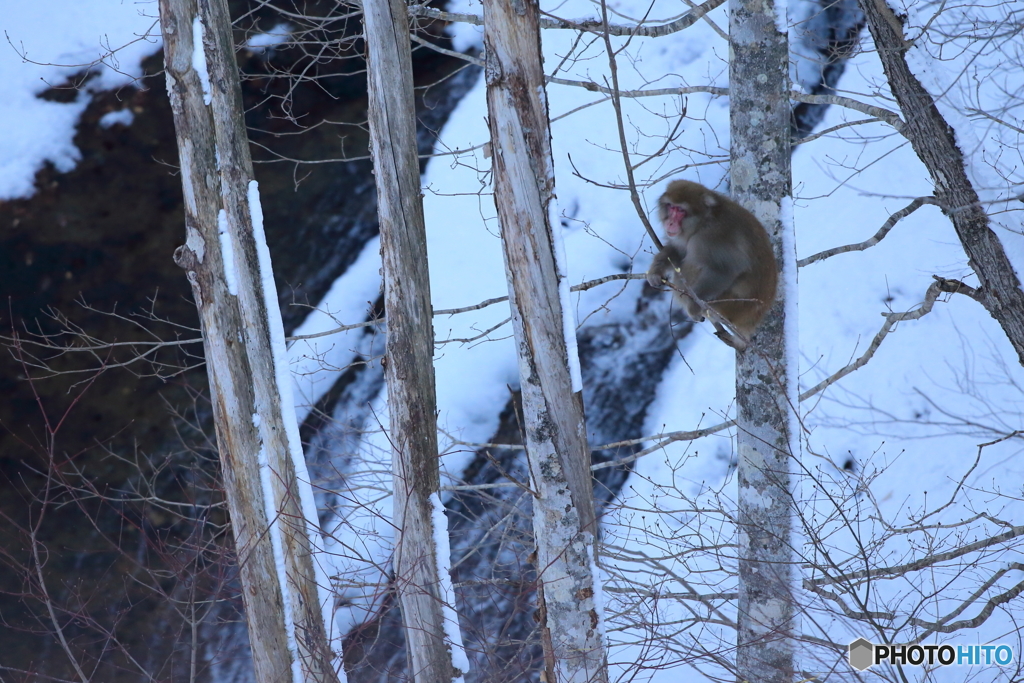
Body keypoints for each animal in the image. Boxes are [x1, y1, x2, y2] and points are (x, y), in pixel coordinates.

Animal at [647, 180, 774, 348]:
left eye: (681, 210)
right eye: (671, 207)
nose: (670, 222)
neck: (703, 221)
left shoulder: (711, 238)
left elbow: (724, 271)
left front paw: (693, 306)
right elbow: (678, 250)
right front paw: (655, 272)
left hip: (729, 306)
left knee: (694, 263)